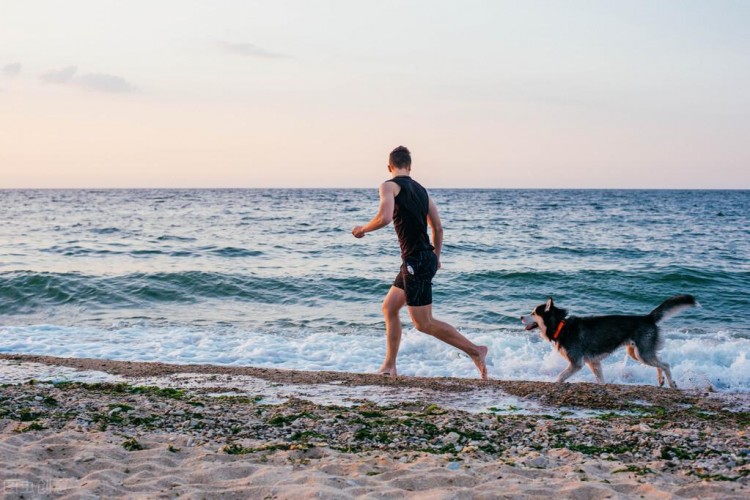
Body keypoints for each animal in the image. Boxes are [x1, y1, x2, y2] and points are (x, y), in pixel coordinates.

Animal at [524, 294, 700, 388]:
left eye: (533, 313)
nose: (520, 317)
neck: (561, 326)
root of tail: (647, 318)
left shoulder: (577, 363)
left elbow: (560, 376)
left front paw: (554, 383)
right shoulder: (594, 362)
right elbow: (600, 380)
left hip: (642, 354)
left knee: (666, 364)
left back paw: (671, 383)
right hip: (637, 353)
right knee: (660, 361)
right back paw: (660, 379)